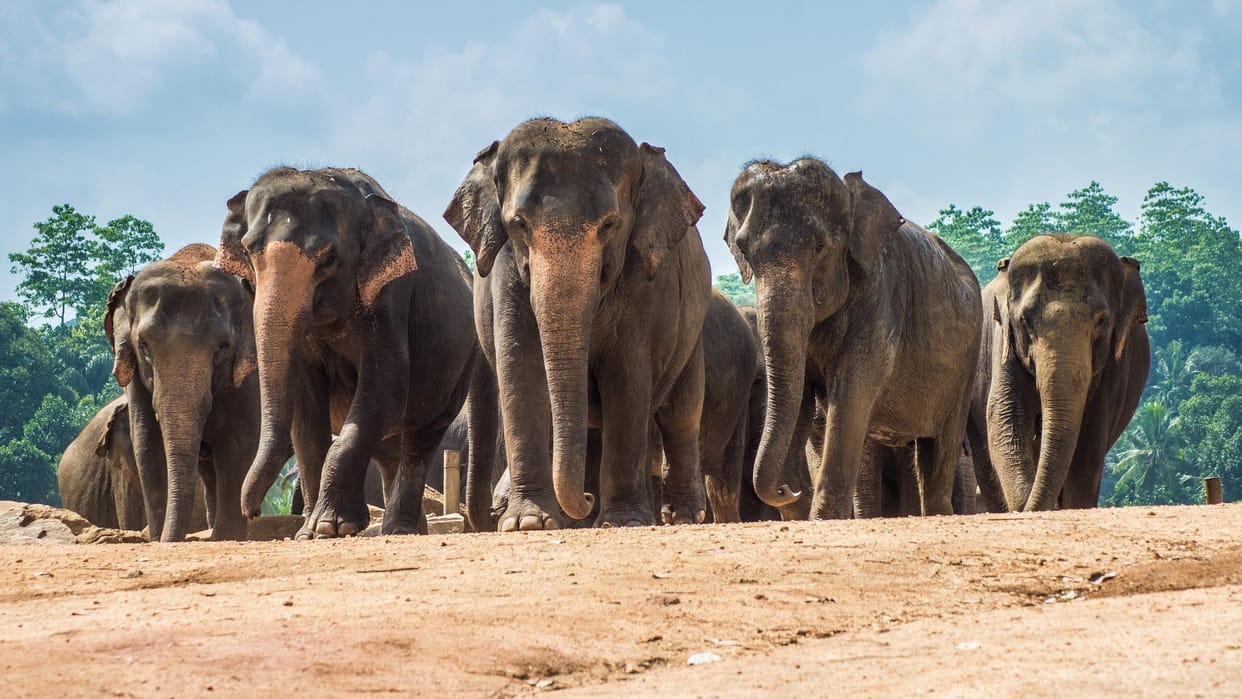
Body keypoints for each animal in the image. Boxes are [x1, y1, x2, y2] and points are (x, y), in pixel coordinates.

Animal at [105, 244, 259, 541]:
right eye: (144, 346)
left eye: (222, 348)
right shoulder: (137, 383)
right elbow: (147, 445)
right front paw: (158, 537)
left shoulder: (250, 374)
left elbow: (238, 443)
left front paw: (226, 537)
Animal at [216, 167, 483, 538]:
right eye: (249, 253)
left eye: (330, 259)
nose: (252, 511)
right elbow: (306, 410)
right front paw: (308, 533)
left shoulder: (390, 296)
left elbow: (385, 389)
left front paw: (332, 526)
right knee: (389, 446)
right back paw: (402, 527)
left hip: (461, 366)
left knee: (420, 440)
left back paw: (399, 529)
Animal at [444, 117, 712, 531]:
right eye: (519, 224)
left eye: (610, 224)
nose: (585, 501)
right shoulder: (507, 274)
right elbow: (521, 371)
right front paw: (528, 522)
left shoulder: (647, 281)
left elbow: (626, 375)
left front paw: (623, 522)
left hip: (693, 333)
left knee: (680, 414)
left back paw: (681, 516)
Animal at [725, 159, 982, 519]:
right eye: (745, 251)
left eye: (819, 247)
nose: (786, 490)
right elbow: (802, 397)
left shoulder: (880, 294)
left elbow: (851, 391)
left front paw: (821, 519)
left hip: (965, 364)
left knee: (940, 445)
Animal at [966, 234, 1150, 511]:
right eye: (1025, 320)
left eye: (1101, 321)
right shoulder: (1003, 347)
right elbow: (1005, 418)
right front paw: (1023, 503)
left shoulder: (1113, 368)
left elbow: (1088, 446)